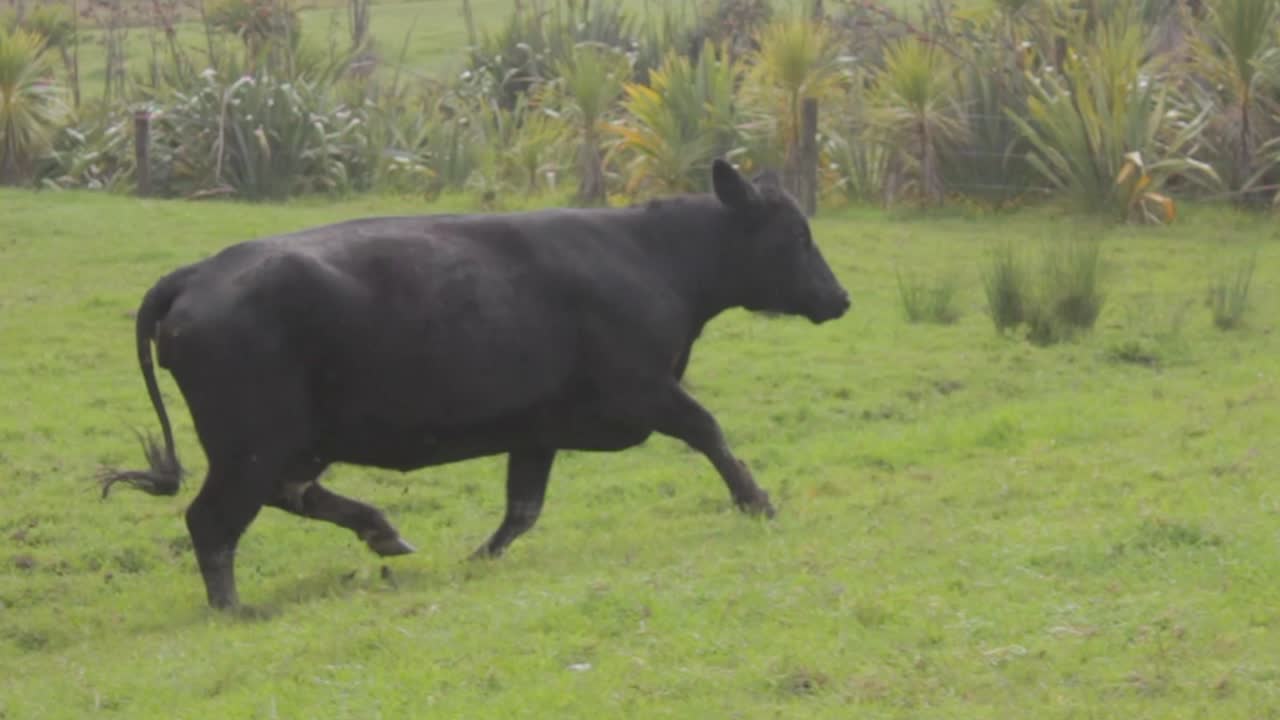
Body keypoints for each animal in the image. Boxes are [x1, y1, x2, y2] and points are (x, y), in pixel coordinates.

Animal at [99, 159, 851, 610]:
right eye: (798, 236)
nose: (840, 298)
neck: (654, 256)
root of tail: (198, 273)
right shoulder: (645, 387)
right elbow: (710, 431)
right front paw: (758, 501)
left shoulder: (538, 425)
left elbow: (523, 507)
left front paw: (479, 556)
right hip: (251, 444)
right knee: (213, 521)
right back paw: (234, 607)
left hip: (289, 443)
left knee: (290, 495)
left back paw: (382, 532)